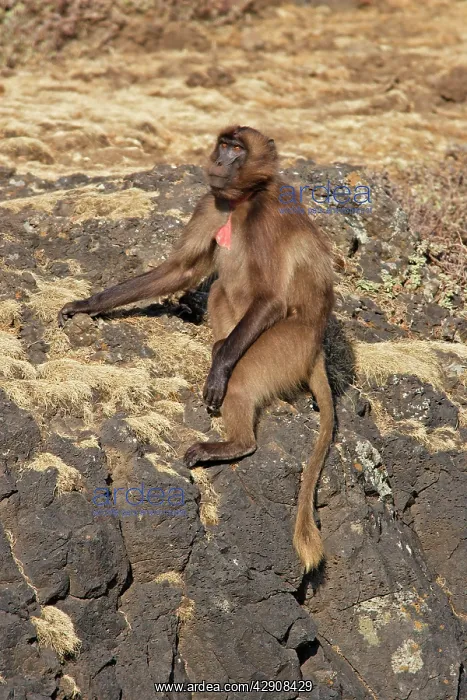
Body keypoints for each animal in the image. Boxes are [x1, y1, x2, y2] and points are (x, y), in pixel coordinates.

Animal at [58, 126, 335, 572]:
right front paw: (87, 304)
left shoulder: (269, 214)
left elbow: (271, 298)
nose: (219, 162)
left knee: (242, 375)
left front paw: (218, 369)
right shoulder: (212, 202)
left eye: (237, 150)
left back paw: (233, 436)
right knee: (220, 288)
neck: (241, 201)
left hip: (286, 344)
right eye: (223, 145)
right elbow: (181, 270)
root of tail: (316, 348)